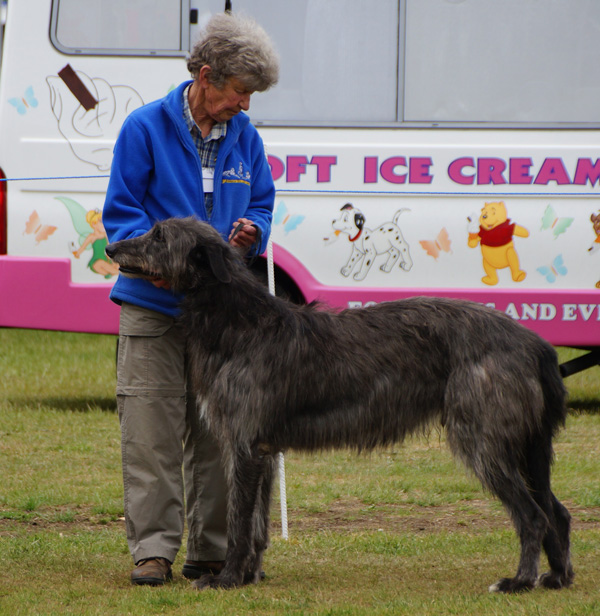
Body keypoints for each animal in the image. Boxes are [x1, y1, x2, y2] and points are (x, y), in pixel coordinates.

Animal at [105, 219, 576, 596]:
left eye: (159, 234)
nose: (110, 248)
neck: (239, 322)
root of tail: (535, 344)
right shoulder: (263, 451)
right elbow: (257, 525)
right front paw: (250, 576)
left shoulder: (243, 445)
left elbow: (239, 522)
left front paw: (226, 579)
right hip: (528, 445)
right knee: (558, 511)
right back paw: (555, 577)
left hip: (483, 439)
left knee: (533, 516)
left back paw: (518, 582)